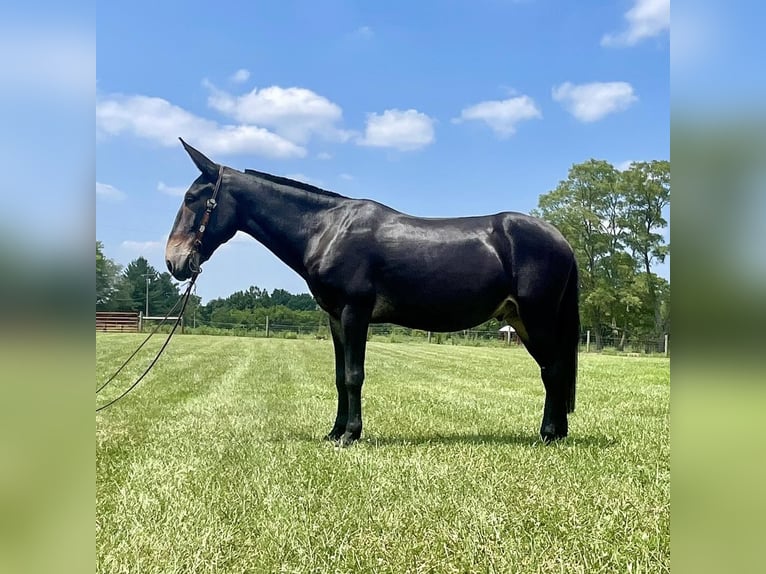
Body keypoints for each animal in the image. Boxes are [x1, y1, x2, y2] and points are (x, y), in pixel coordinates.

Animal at [165, 140, 580, 446]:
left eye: (191, 199)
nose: (174, 261)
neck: (326, 228)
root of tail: (560, 239)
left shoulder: (355, 312)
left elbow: (354, 375)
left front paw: (351, 434)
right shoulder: (335, 317)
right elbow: (338, 376)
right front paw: (334, 431)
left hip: (537, 318)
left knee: (553, 369)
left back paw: (549, 434)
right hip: (521, 320)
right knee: (552, 369)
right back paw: (557, 432)